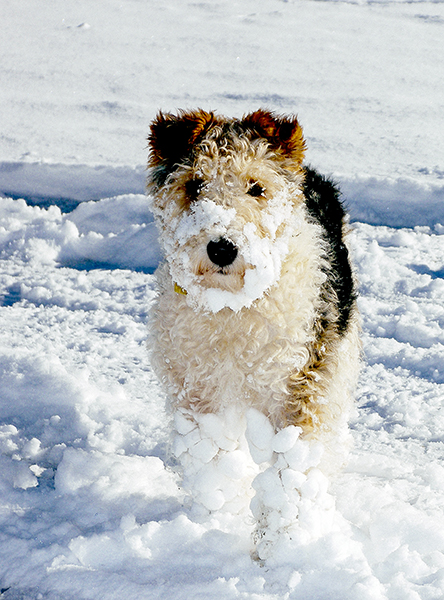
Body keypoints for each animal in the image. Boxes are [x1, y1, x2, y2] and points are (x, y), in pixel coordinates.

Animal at [147, 109, 360, 556]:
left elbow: (290, 471)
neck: (233, 308)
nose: (222, 248)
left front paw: (281, 546)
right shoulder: (198, 392)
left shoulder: (302, 388)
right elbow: (210, 461)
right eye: (194, 184)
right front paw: (214, 524)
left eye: (256, 187)